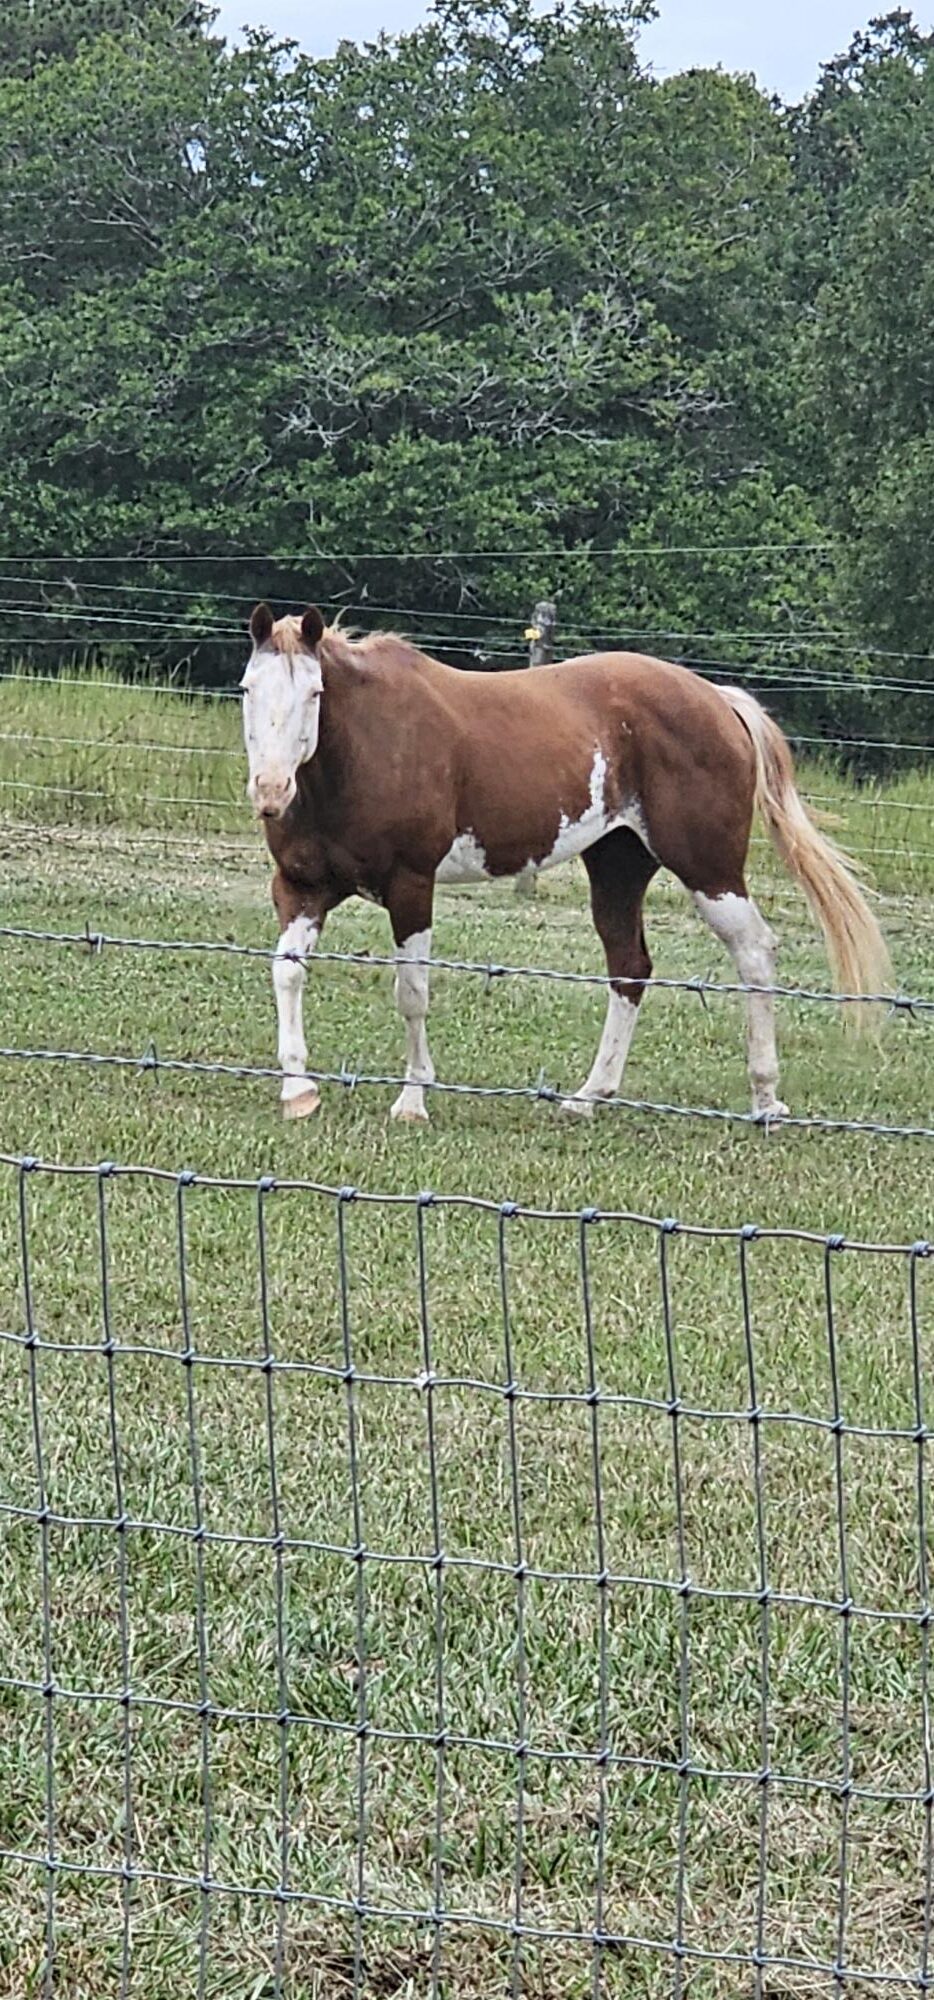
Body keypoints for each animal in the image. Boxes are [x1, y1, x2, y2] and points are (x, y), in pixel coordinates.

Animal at [240, 603, 891, 1125]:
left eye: (314, 694)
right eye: (248, 689)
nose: (270, 792)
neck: (364, 751)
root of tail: (719, 701)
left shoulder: (410, 888)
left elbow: (412, 993)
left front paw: (412, 1102)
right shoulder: (302, 887)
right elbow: (286, 973)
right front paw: (298, 1091)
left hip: (710, 870)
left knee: (754, 952)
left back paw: (765, 1098)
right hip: (619, 867)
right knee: (630, 968)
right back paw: (588, 1096)